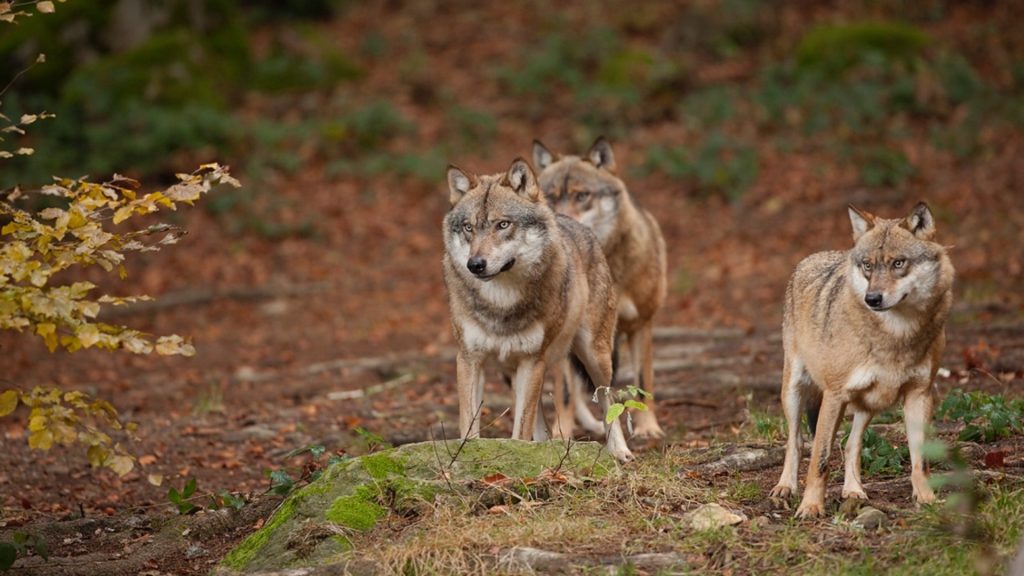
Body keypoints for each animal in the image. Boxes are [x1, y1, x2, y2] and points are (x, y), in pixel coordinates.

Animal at [442, 158, 633, 462]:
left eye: (503, 224)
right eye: (469, 227)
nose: (475, 265)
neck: (501, 302)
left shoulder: (532, 360)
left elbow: (521, 428)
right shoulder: (470, 359)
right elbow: (470, 424)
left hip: (594, 356)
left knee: (608, 401)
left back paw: (620, 450)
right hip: (516, 371)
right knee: (540, 418)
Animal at [533, 138, 669, 440]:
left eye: (582, 196)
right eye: (550, 197)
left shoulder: (642, 324)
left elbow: (643, 383)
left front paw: (648, 428)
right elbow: (566, 393)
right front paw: (561, 433)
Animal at [770, 202, 954, 518]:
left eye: (898, 263)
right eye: (868, 265)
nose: (872, 299)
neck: (895, 335)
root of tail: (812, 257)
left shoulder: (920, 393)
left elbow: (920, 459)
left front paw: (927, 499)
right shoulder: (834, 395)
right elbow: (819, 459)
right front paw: (811, 506)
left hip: (868, 403)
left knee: (851, 445)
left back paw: (854, 490)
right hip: (794, 391)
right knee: (796, 443)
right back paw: (786, 488)